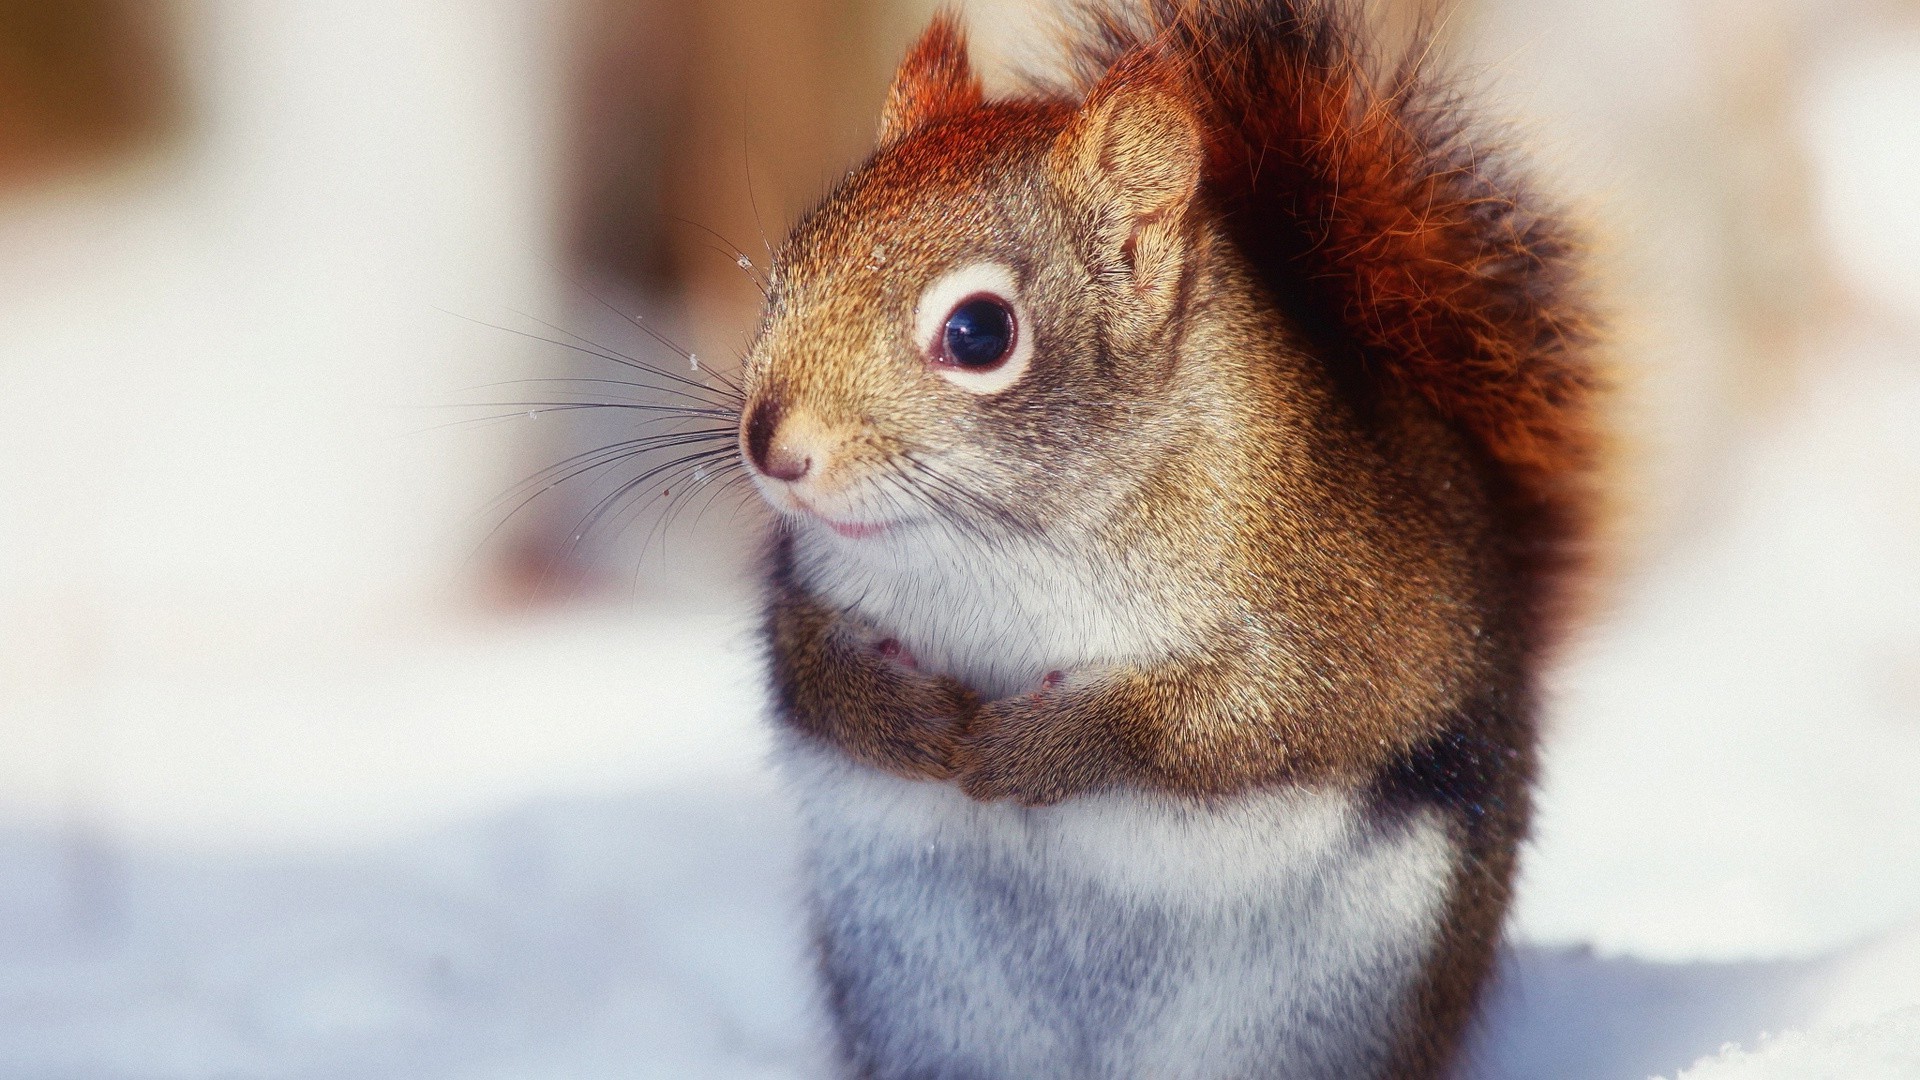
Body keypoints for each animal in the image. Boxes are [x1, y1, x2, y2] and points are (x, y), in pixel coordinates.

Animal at [733, 4, 1605, 1068]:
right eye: (789, 264)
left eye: (979, 333)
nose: (771, 446)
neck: (994, 546)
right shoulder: (810, 582)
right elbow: (805, 666)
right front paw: (908, 720)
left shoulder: (1338, 607)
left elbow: (1240, 721)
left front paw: (1034, 749)